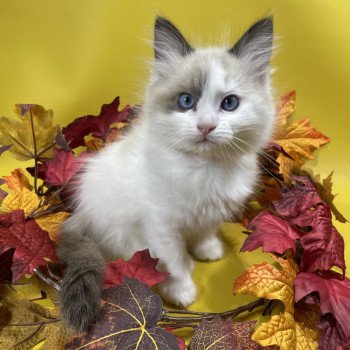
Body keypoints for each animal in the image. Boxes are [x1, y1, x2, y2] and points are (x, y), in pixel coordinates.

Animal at [56, 15, 276, 330]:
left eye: (229, 103)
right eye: (186, 101)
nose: (206, 126)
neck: (205, 169)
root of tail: (80, 214)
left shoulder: (211, 209)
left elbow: (204, 230)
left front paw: (208, 249)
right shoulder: (161, 224)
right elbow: (172, 261)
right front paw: (182, 290)